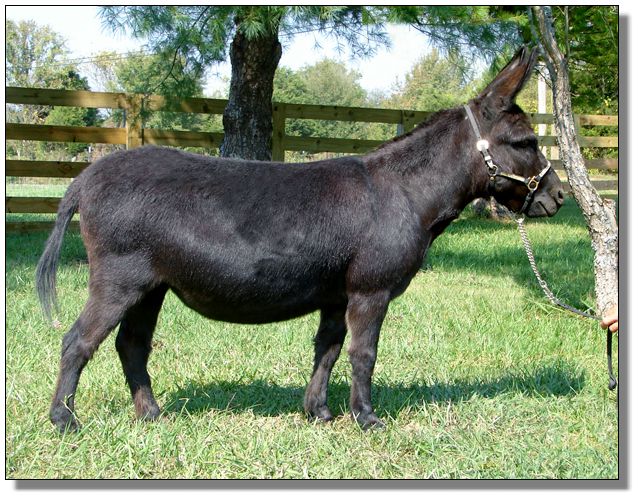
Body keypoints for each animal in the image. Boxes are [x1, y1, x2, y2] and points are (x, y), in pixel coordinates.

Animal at [37, 47, 564, 432]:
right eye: (526, 143)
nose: (558, 197)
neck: (406, 191)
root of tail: (85, 178)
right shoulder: (370, 291)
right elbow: (363, 354)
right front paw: (367, 419)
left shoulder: (336, 294)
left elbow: (327, 350)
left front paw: (319, 413)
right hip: (119, 279)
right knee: (77, 341)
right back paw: (64, 420)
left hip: (151, 286)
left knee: (132, 345)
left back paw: (151, 416)